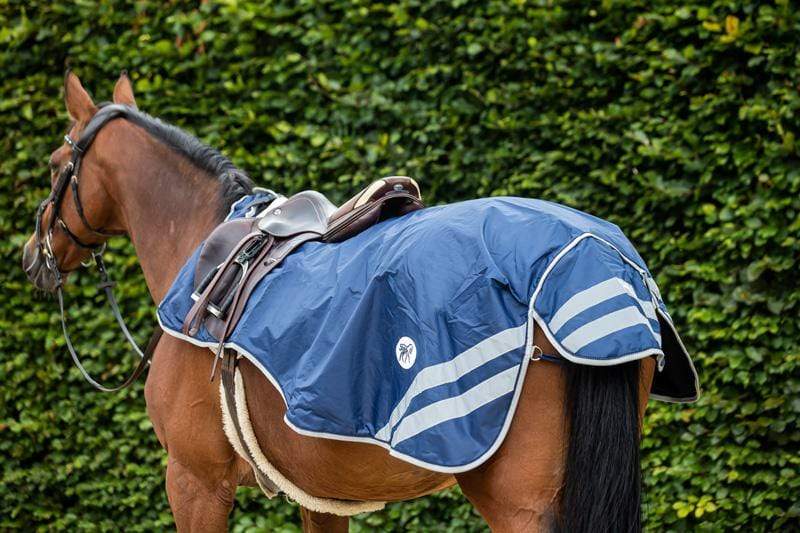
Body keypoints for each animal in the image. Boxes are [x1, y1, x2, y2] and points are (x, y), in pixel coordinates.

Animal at [22, 72, 657, 532]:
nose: (33, 256)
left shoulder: (194, 481)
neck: (204, 242)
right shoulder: (318, 496)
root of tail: (587, 256)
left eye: (54, 167)